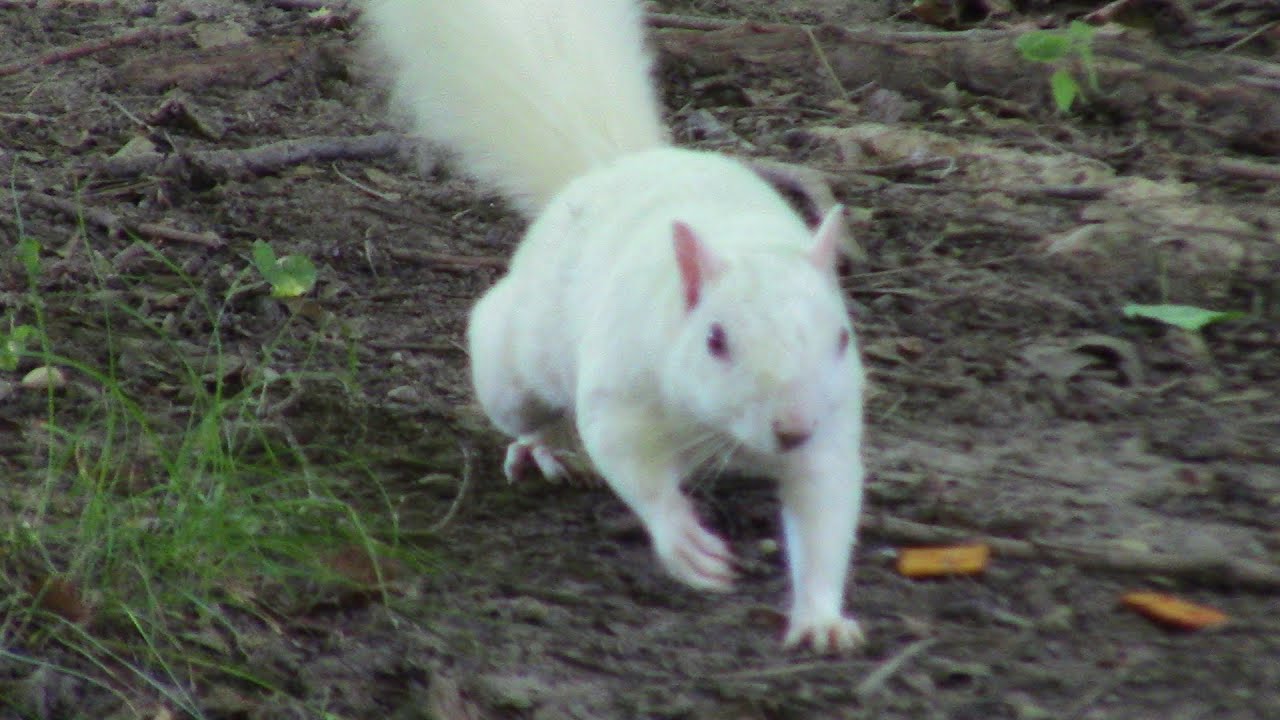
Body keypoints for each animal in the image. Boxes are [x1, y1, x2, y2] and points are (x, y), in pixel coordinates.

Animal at [366, 0, 868, 654]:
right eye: (715, 340)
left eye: (842, 339)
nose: (792, 427)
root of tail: (615, 168)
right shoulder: (622, 386)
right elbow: (631, 459)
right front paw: (683, 540)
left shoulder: (831, 427)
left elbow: (825, 510)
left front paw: (822, 617)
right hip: (512, 365)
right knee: (529, 411)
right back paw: (544, 447)